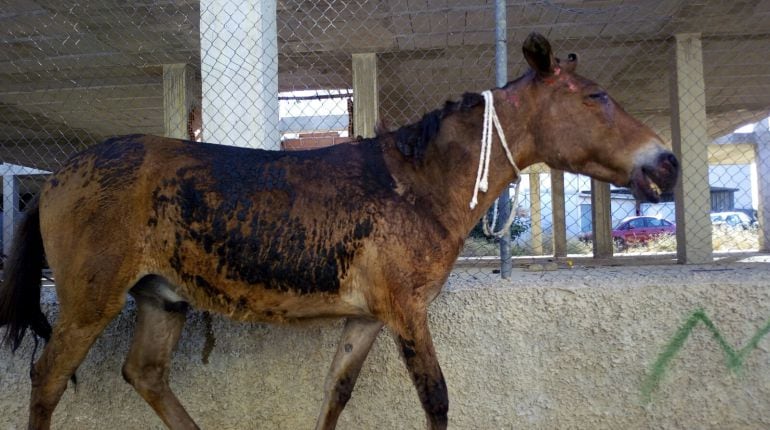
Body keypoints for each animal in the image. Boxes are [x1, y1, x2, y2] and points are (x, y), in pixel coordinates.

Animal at [0, 33, 672, 430]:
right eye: (595, 96)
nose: (665, 162)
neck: (416, 184)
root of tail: (56, 176)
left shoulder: (367, 319)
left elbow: (335, 394)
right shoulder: (405, 311)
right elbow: (436, 399)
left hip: (162, 298)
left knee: (144, 373)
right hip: (90, 301)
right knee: (47, 378)